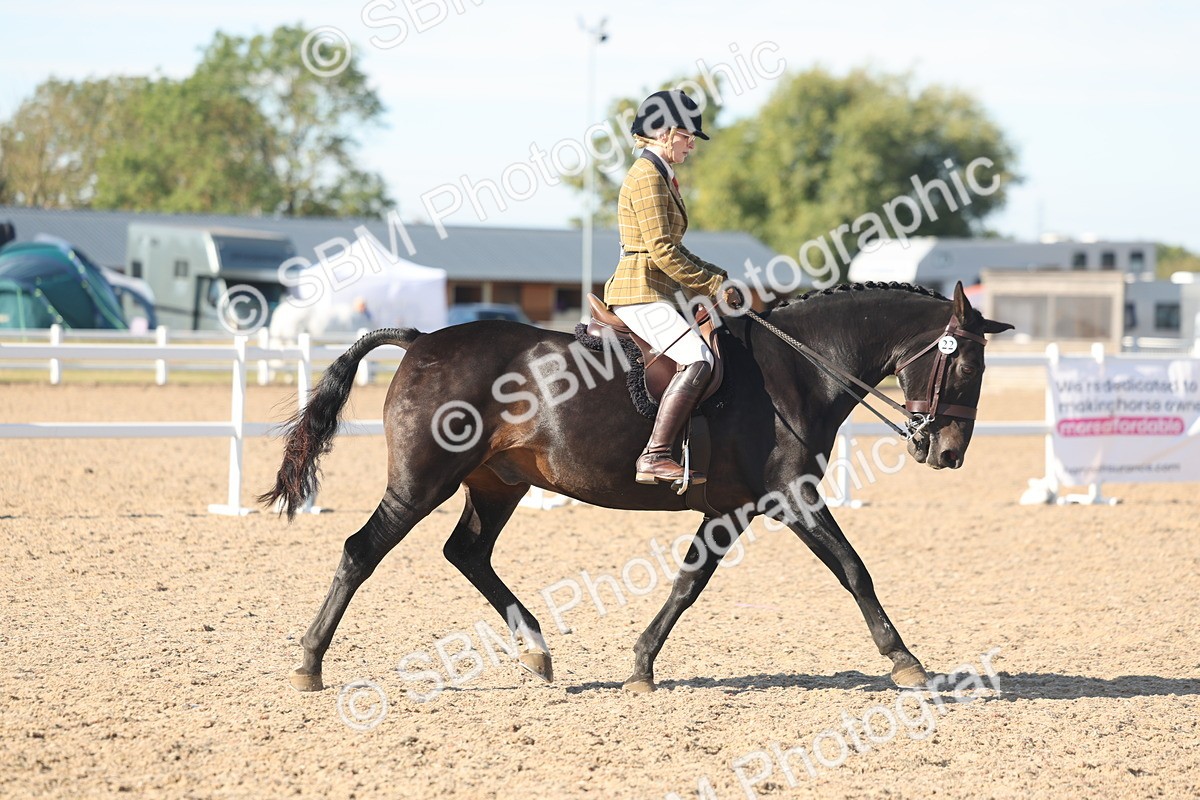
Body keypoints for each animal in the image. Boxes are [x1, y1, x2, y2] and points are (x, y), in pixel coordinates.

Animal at [261, 281, 1013, 694]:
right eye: (965, 368)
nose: (948, 452)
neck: (799, 366)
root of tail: (422, 339)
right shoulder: (791, 495)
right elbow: (855, 569)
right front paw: (905, 661)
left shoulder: (730, 508)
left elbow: (689, 582)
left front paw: (642, 664)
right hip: (422, 482)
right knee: (361, 551)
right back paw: (309, 664)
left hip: (498, 483)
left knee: (466, 553)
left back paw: (536, 650)